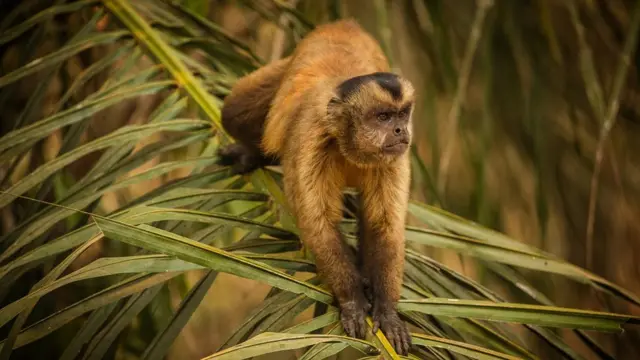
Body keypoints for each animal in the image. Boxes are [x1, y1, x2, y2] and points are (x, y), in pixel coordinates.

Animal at [216, 18, 416, 352]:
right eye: (383, 117)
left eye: (402, 115)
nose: (401, 129)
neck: (347, 143)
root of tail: (343, 25)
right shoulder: (310, 140)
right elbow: (318, 225)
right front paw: (352, 300)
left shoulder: (396, 158)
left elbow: (385, 226)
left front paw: (387, 310)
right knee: (232, 112)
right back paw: (253, 152)